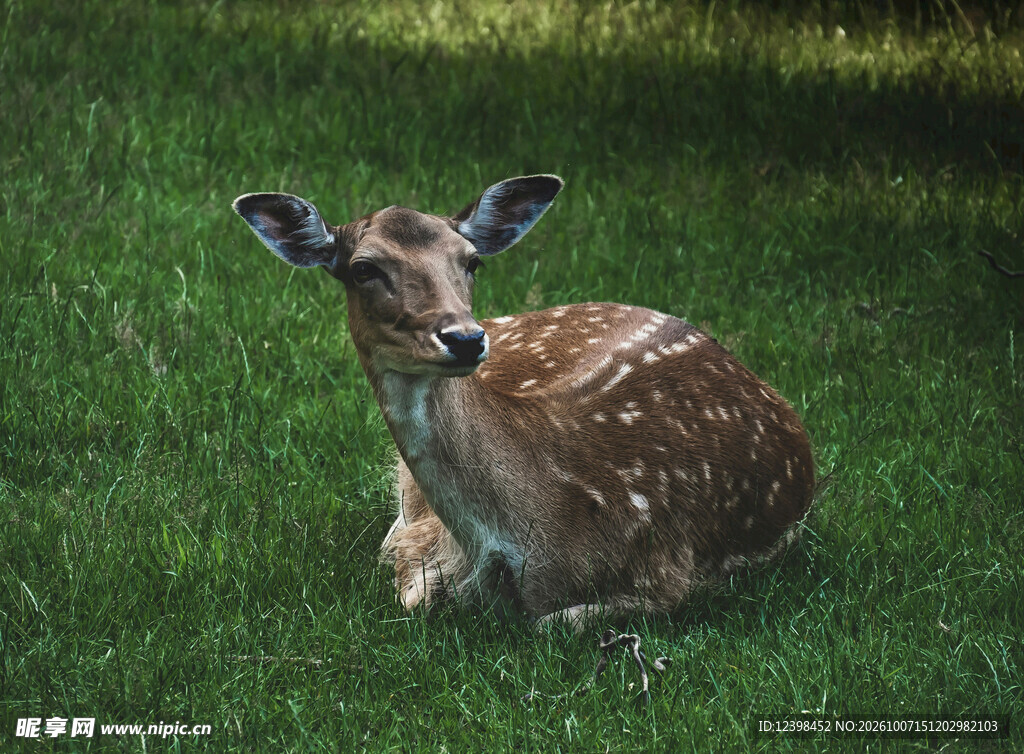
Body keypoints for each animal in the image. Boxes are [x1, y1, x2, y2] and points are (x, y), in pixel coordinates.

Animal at [233, 175, 815, 633]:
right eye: (362, 268)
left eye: (472, 261)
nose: (466, 338)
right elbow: (415, 588)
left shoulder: (669, 573)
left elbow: (549, 623)